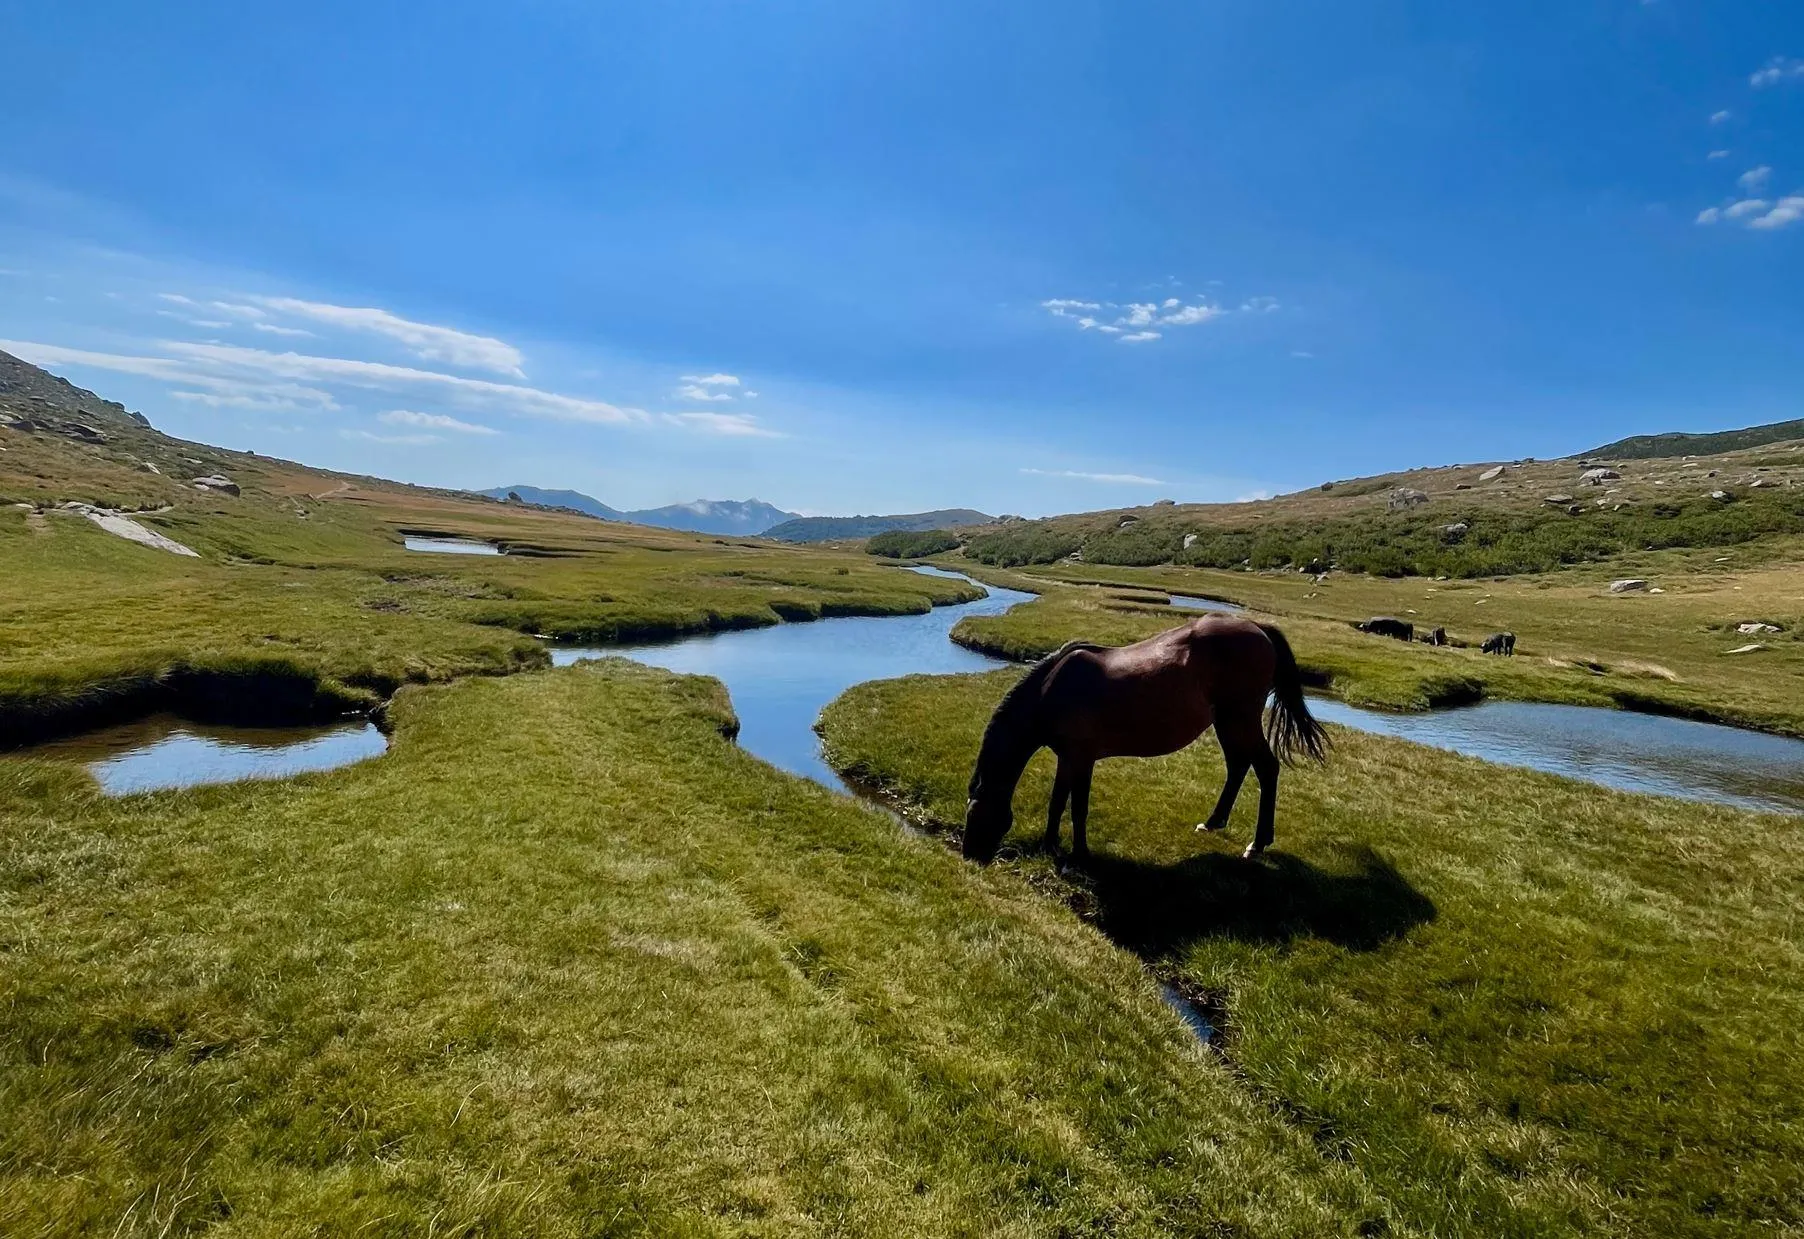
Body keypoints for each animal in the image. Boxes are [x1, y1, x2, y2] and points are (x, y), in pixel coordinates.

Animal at [963, 616, 1328, 865]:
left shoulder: (1079, 757)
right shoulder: (1069, 758)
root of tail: (1257, 627)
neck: (1050, 690)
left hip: (1241, 720)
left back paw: (1257, 843)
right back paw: (1213, 823)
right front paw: (1050, 845)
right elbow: (1059, 802)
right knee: (1238, 766)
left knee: (1266, 768)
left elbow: (1075, 806)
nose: (970, 857)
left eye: (976, 816)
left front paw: (1076, 853)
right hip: (1227, 723)